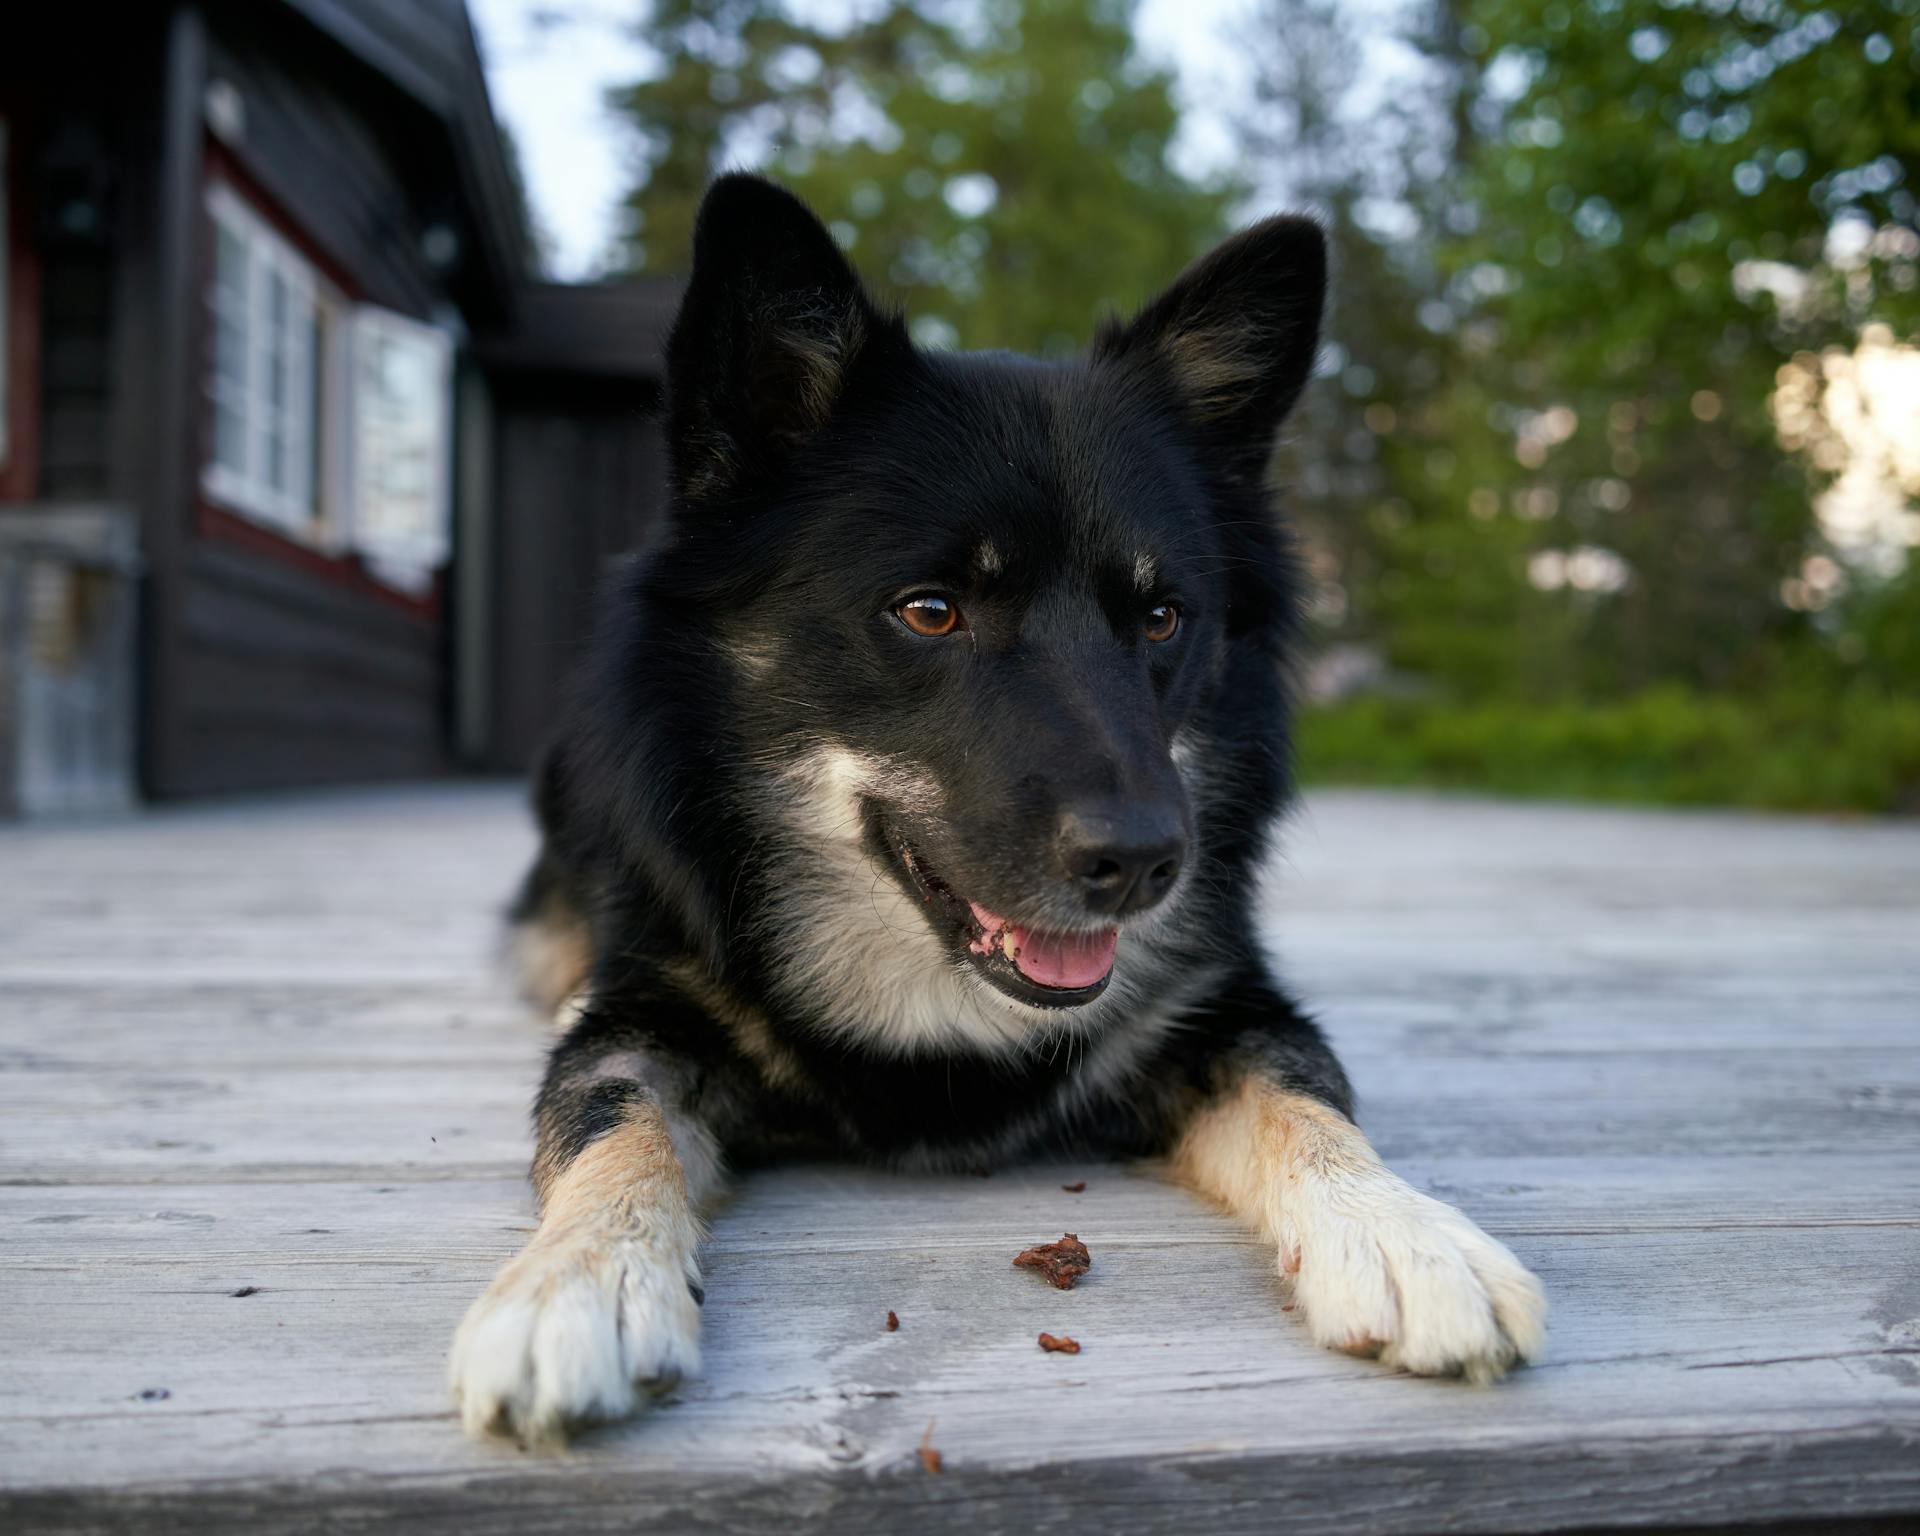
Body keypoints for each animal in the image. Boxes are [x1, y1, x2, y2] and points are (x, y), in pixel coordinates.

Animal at [445, 176, 1543, 1443]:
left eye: (1161, 616)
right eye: (930, 610)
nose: (1144, 863)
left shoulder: (1228, 1010)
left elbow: (1309, 1096)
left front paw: (1403, 1230)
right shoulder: (640, 1017)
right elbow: (606, 1119)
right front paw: (578, 1281)